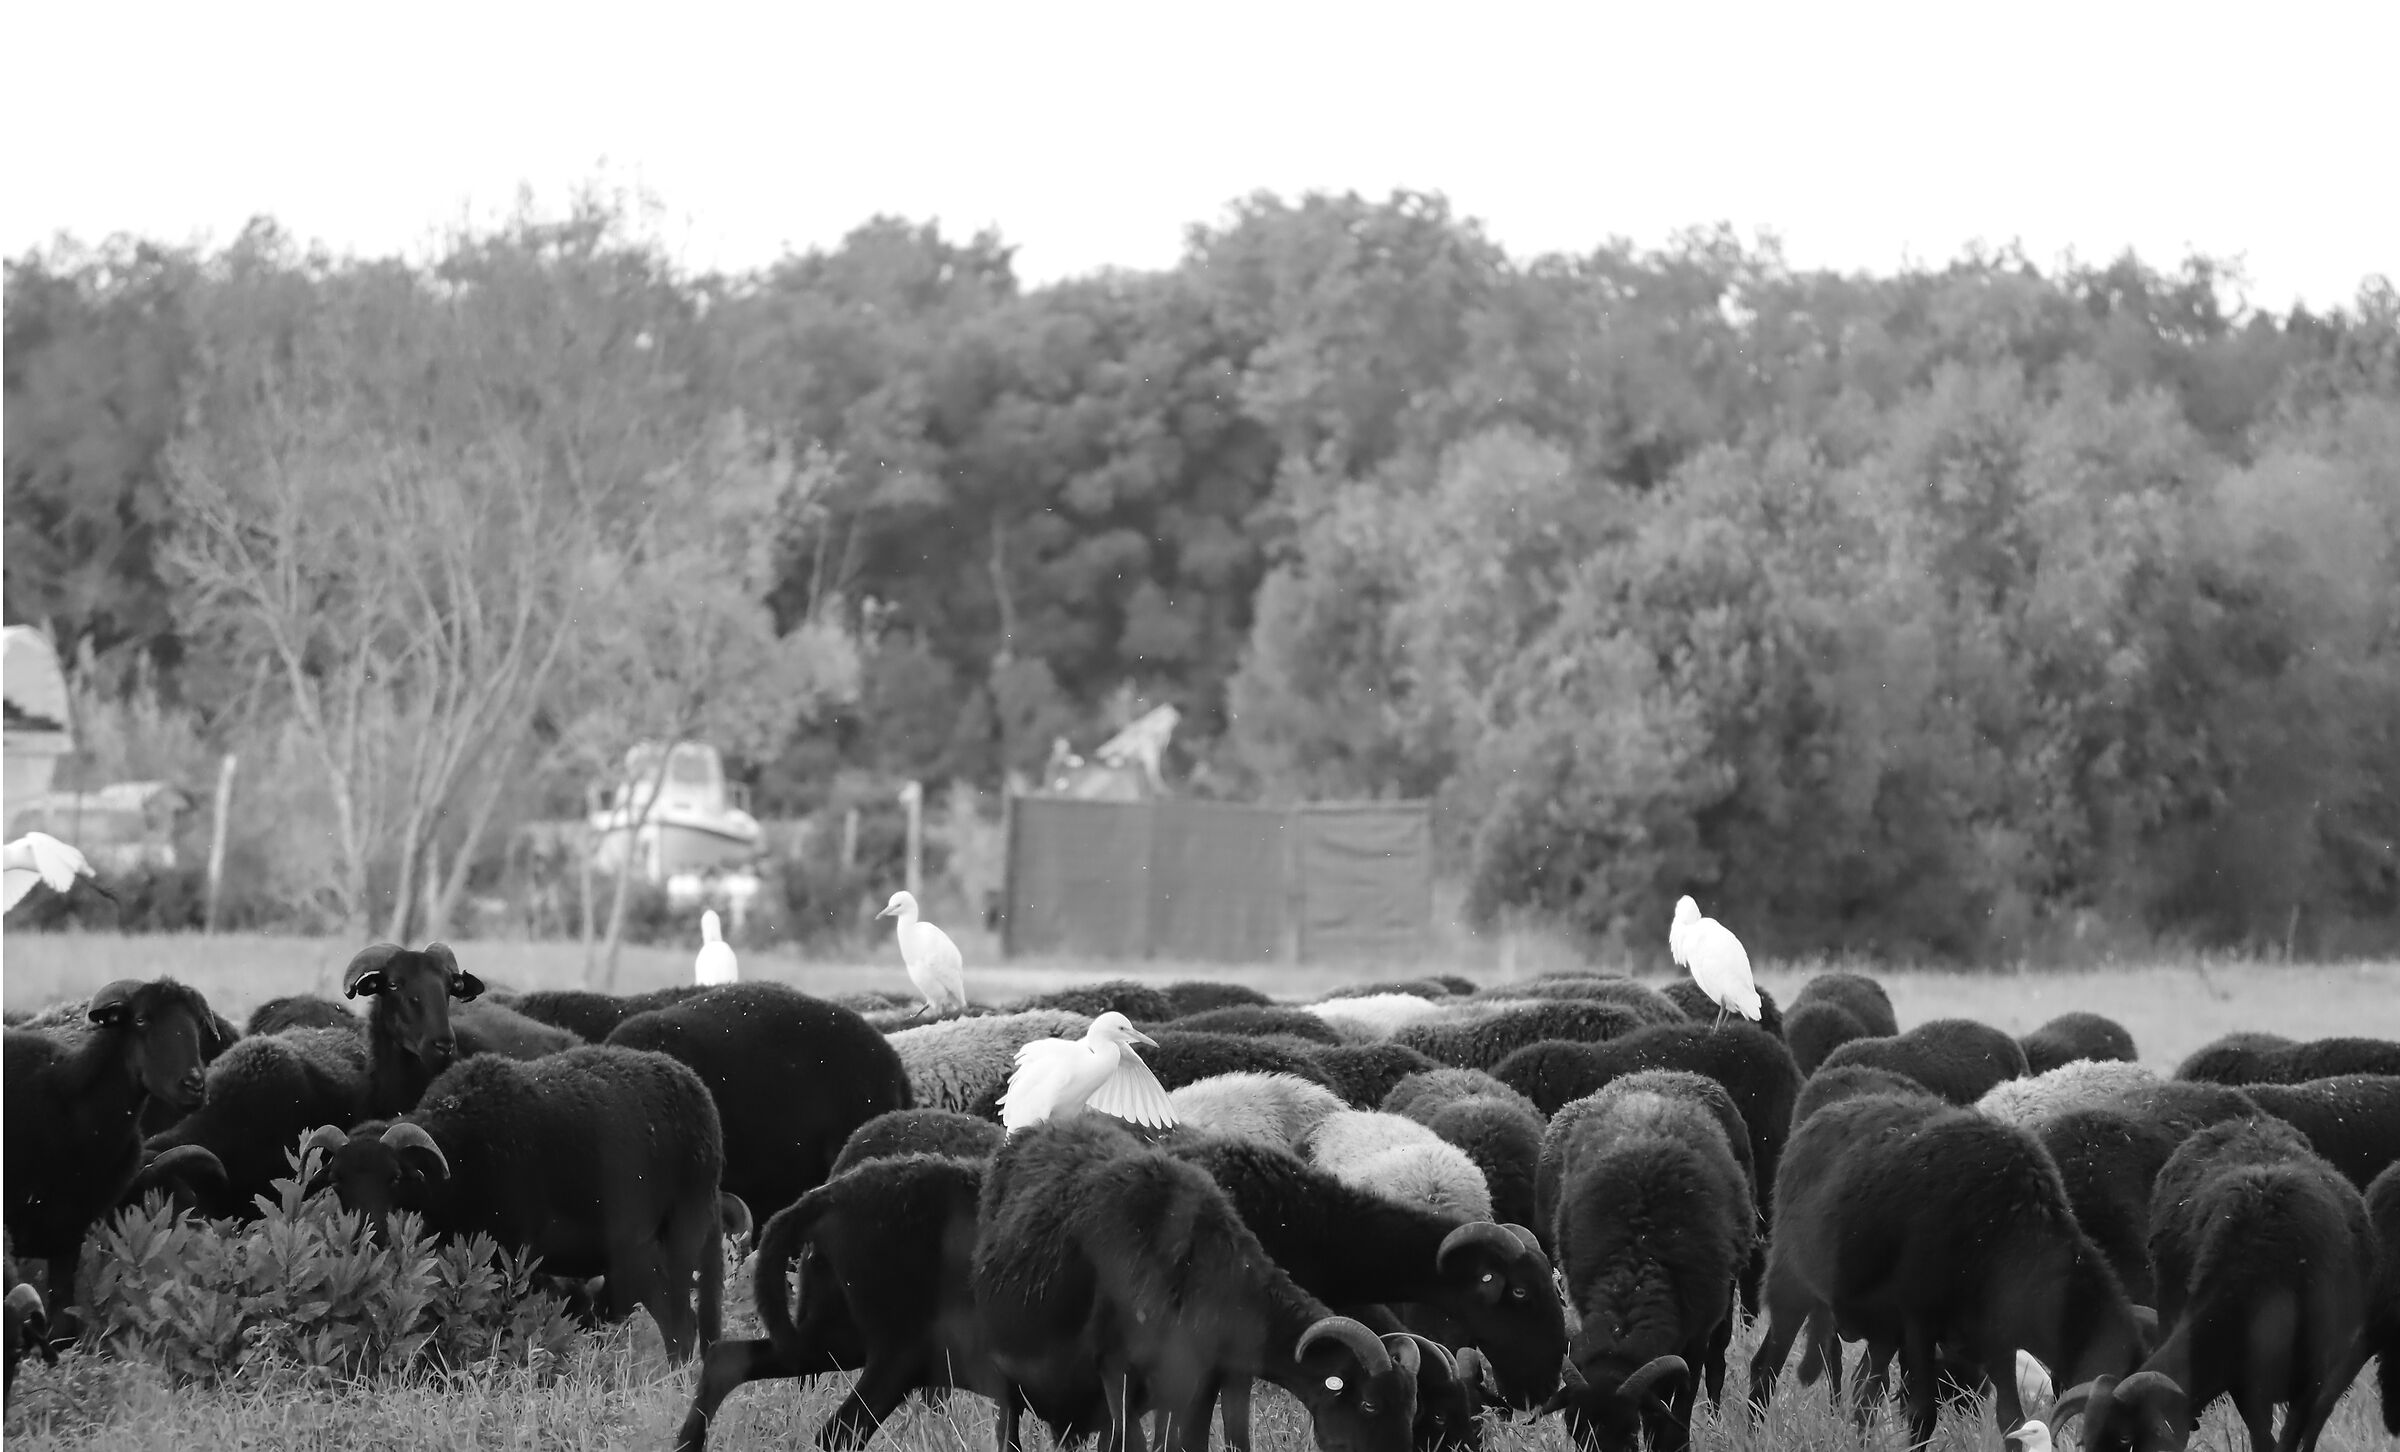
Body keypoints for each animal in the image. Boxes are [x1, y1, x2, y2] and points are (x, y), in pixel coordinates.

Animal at [313, 1043, 725, 1361]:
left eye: (394, 1178)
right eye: (336, 1181)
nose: (367, 1237)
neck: (463, 1155)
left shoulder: (514, 1253)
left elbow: (503, 1324)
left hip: (679, 1238)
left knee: (681, 1325)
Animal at [974, 1117, 1418, 1452]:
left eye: (1412, 1407)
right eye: (1369, 1404)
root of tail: (1037, 1128)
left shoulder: (1201, 1377)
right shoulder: (1116, 1369)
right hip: (1008, 1366)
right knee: (1008, 1429)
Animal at [1541, 1081, 1754, 1452]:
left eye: (1629, 1432)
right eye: (1574, 1430)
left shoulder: (1694, 1338)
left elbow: (1676, 1409)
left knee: (1718, 1358)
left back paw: (1716, 1418)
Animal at [1747, 1095, 2149, 1449]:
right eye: (2123, 1433)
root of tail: (1812, 1124)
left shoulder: (1997, 1339)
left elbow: (2011, 1420)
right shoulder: (1920, 1324)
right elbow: (1922, 1413)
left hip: (1882, 1328)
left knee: (1864, 1392)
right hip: (1791, 1287)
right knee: (1764, 1369)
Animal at [2059, 1116, 2374, 1452]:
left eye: (2125, 1437)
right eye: (2084, 1440)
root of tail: (2247, 1122)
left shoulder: (2312, 1382)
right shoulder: (2245, 1382)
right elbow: (2262, 1438)